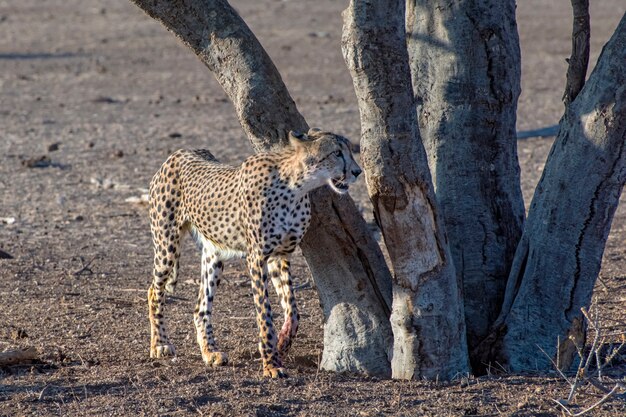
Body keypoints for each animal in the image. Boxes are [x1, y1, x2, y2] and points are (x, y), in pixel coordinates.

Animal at [147, 127, 360, 376]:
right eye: (337, 153)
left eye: (349, 151)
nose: (357, 172)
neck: (297, 186)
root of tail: (179, 152)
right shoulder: (257, 257)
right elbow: (264, 313)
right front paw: (271, 363)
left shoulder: (280, 256)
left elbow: (293, 310)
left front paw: (282, 343)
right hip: (166, 246)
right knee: (154, 291)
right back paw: (160, 344)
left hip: (214, 255)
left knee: (200, 308)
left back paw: (210, 352)